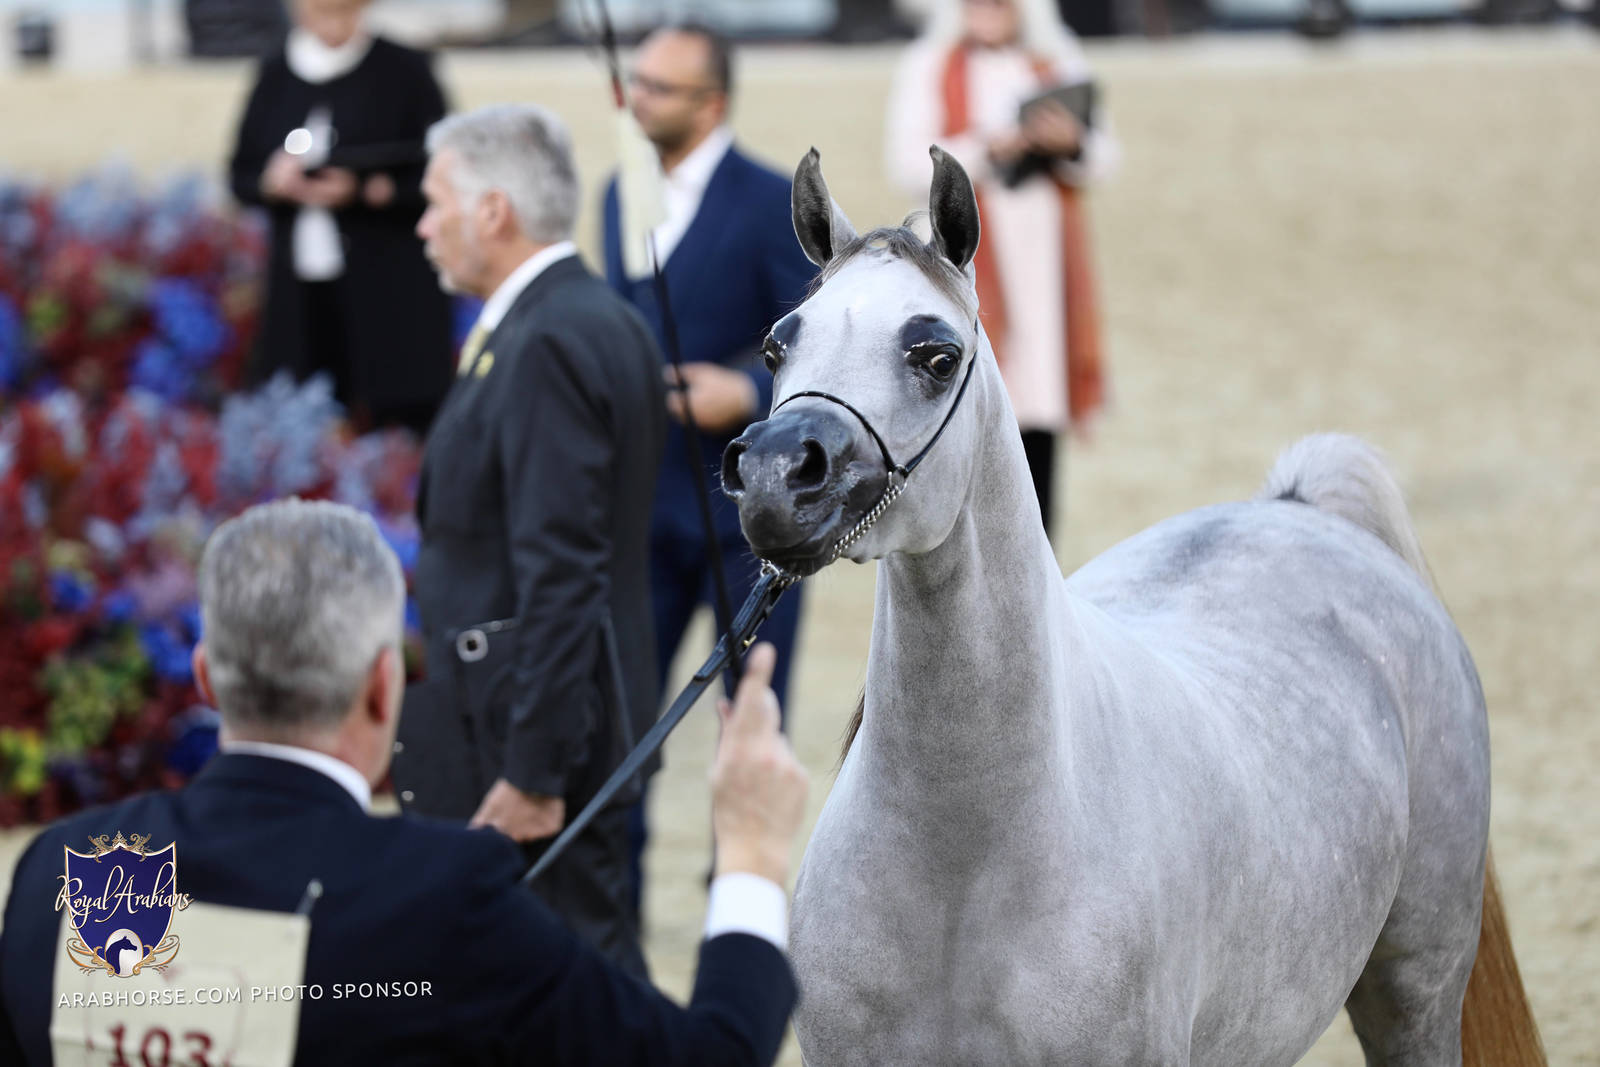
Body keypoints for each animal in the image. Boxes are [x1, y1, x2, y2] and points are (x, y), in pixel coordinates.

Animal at [721, 146, 1544, 1066]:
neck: (962, 864)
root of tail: (1303, 507)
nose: (774, 474)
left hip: (1416, 993)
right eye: (776, 345)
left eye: (935, 355)